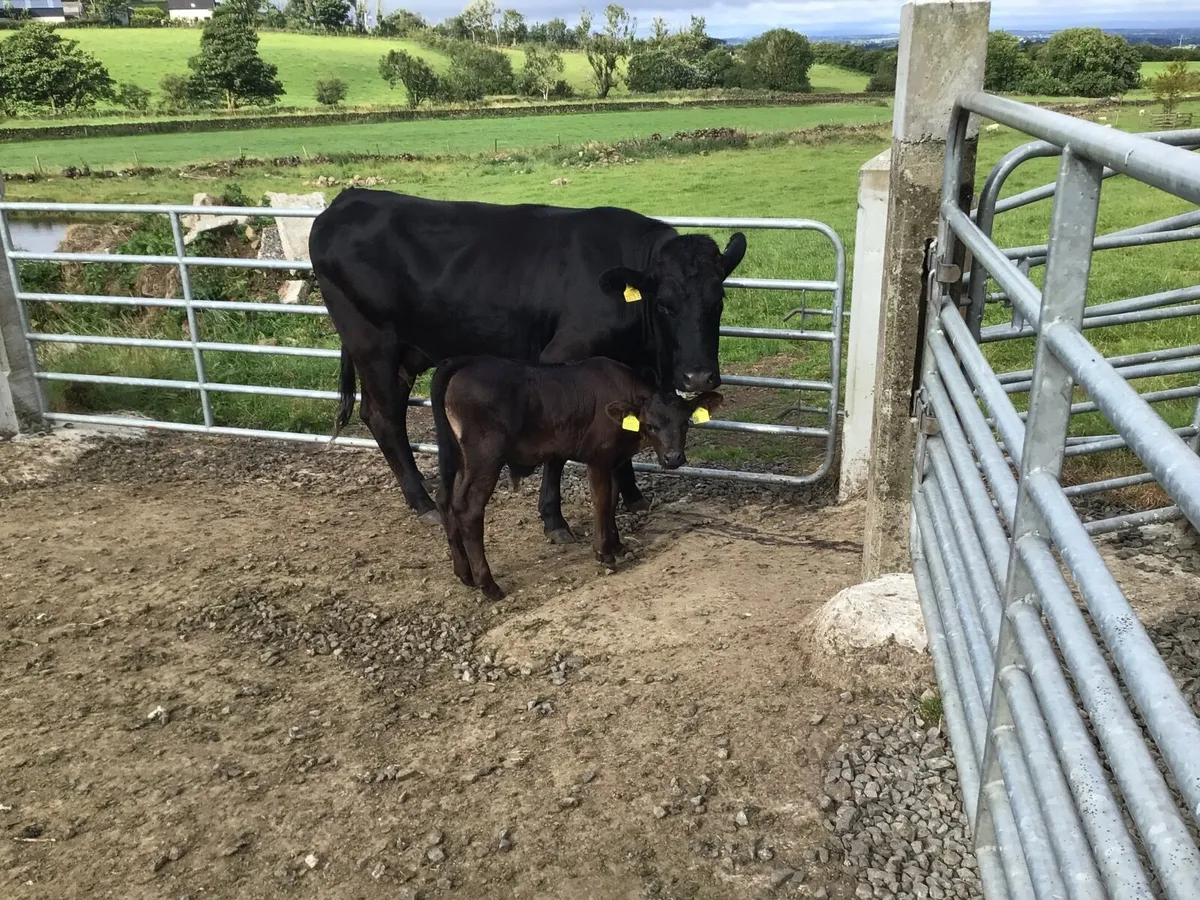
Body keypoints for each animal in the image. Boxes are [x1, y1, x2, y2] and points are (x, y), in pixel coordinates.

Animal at [307, 190, 746, 544]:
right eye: (665, 304)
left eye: (718, 301)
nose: (698, 375)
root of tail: (347, 199)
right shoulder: (561, 360)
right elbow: (558, 449)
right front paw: (554, 520)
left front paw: (633, 496)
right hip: (372, 345)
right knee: (383, 417)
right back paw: (423, 502)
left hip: (402, 355)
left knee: (382, 413)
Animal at [430, 354, 722, 601]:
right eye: (650, 425)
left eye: (685, 423)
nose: (674, 458)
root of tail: (465, 363)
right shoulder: (598, 458)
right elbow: (602, 502)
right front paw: (604, 552)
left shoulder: (615, 460)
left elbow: (612, 499)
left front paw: (617, 545)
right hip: (485, 456)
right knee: (469, 509)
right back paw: (488, 585)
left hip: (459, 457)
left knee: (446, 499)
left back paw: (464, 574)